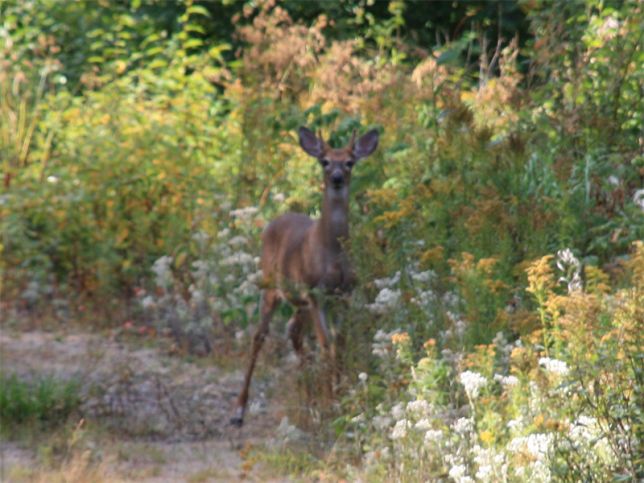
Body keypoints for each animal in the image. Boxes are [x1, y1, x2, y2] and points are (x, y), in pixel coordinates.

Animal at [231, 125, 380, 428]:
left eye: (350, 161)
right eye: (324, 161)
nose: (336, 178)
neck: (331, 253)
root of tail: (274, 221)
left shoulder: (344, 294)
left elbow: (339, 345)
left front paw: (339, 397)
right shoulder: (316, 293)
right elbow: (326, 345)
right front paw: (332, 402)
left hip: (299, 301)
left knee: (293, 332)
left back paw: (309, 400)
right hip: (271, 285)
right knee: (259, 336)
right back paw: (239, 410)